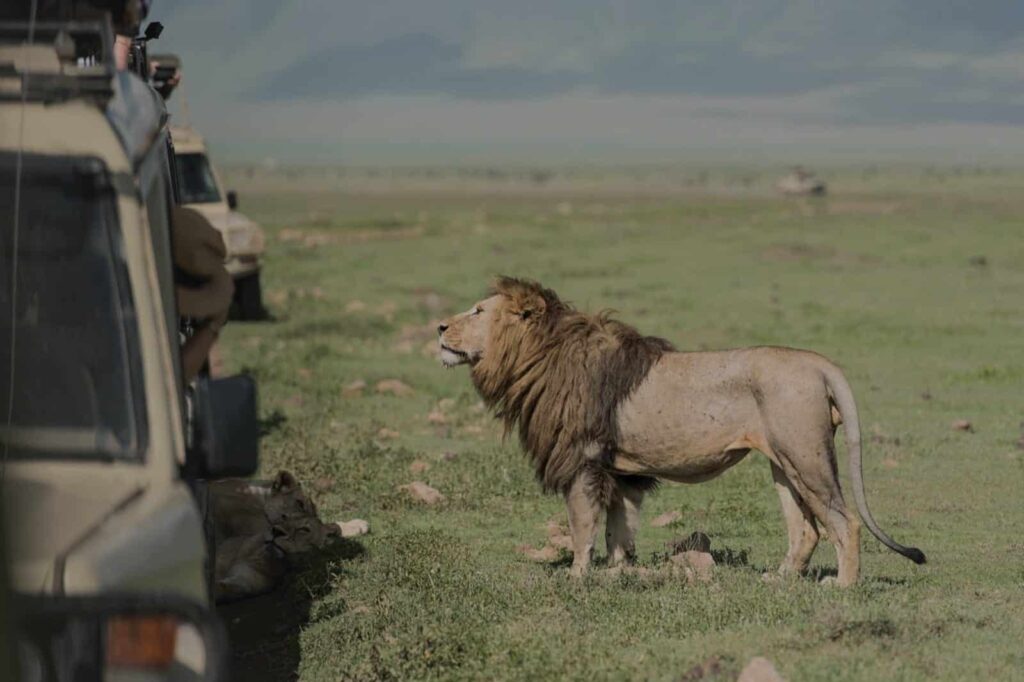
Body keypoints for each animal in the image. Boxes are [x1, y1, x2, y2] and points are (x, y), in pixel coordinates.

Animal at [437, 277, 925, 586]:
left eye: (477, 311)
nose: (439, 327)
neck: (537, 357)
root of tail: (819, 362)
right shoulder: (621, 471)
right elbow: (619, 528)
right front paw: (618, 572)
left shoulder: (582, 459)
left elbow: (582, 526)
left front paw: (576, 577)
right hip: (784, 463)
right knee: (806, 529)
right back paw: (780, 579)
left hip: (806, 457)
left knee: (846, 522)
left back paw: (843, 587)